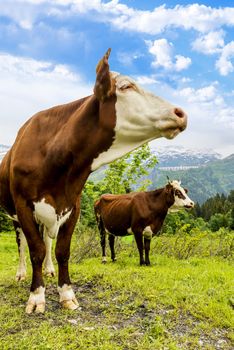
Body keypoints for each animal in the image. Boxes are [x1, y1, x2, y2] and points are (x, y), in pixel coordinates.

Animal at [0, 47, 187, 314]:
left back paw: (49, 270)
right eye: (126, 86)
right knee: (22, 243)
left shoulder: (73, 206)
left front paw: (66, 293)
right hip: (15, 215)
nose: (180, 113)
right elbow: (34, 249)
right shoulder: (24, 205)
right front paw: (36, 296)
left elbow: (61, 250)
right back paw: (22, 273)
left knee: (47, 239)